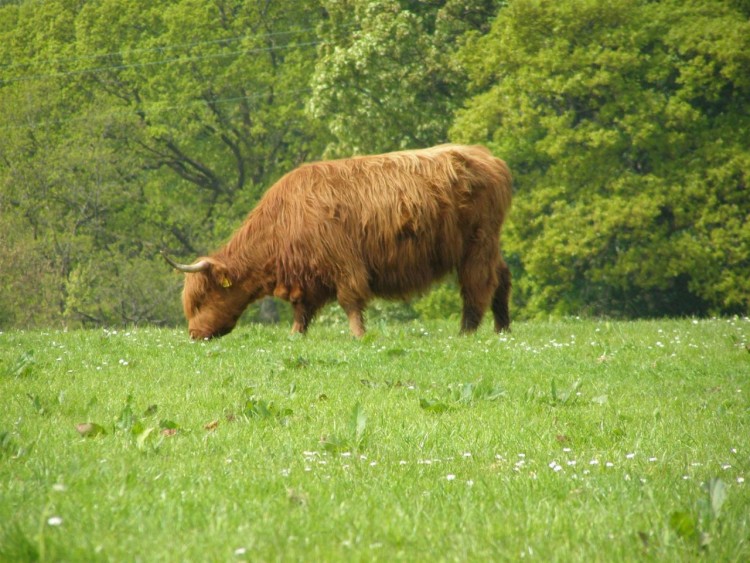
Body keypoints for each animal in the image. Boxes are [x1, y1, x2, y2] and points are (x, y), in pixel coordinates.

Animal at [164, 145, 516, 340]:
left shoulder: (343, 263)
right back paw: (503, 330)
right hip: (488, 245)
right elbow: (302, 311)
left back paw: (466, 332)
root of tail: (489, 158)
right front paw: (295, 336)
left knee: (479, 285)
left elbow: (350, 301)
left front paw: (359, 336)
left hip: (477, 245)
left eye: (201, 299)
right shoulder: (308, 277)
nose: (194, 334)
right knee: (503, 278)